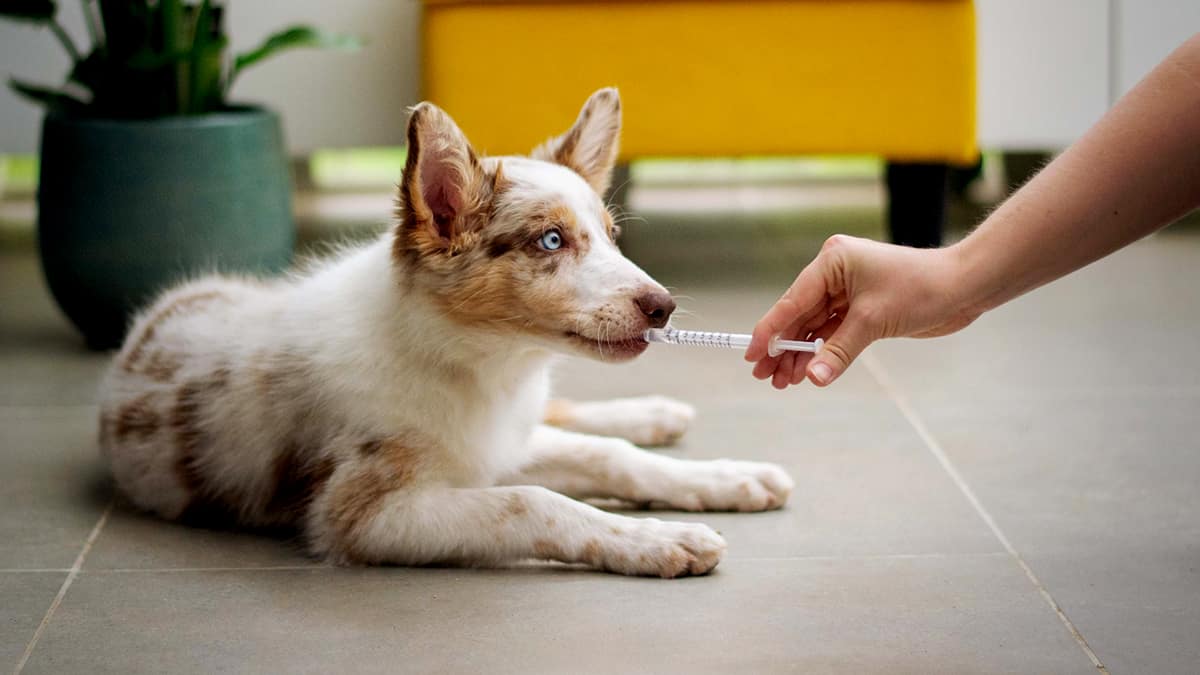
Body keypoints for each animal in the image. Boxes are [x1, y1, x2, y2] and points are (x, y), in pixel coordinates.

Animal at [100, 86, 796, 576]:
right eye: (551, 240)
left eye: (611, 237)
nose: (664, 308)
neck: (478, 364)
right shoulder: (364, 514)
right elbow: (534, 501)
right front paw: (659, 539)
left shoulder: (498, 441)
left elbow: (609, 457)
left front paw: (721, 480)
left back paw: (654, 415)